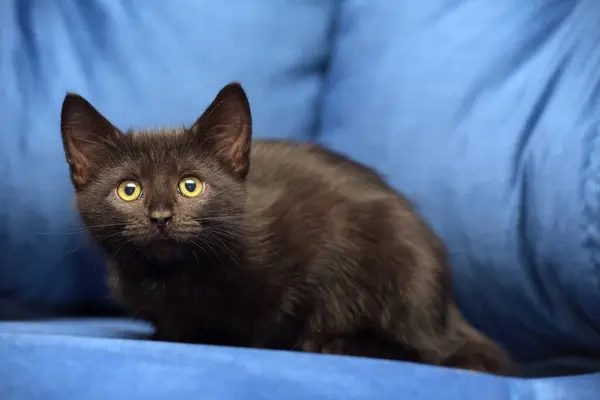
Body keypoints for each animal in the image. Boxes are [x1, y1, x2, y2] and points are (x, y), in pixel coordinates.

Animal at [58, 82, 512, 376]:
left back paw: (336, 343)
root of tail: (446, 310)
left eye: (190, 185)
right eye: (129, 190)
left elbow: (273, 320)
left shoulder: (315, 248)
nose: (160, 216)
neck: (177, 275)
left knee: (440, 354)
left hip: (405, 267)